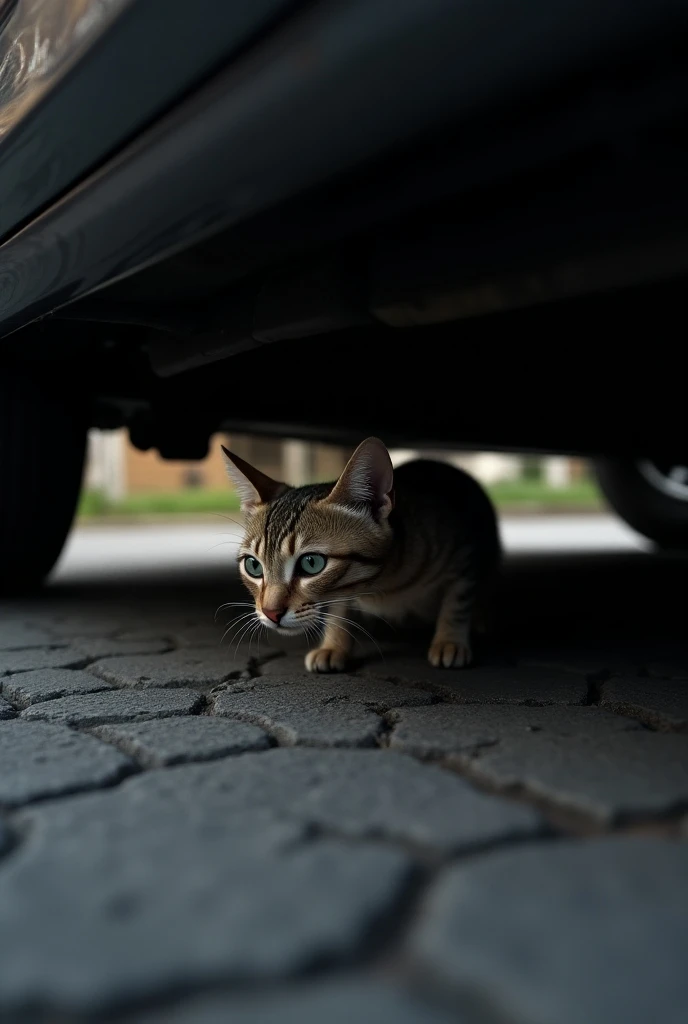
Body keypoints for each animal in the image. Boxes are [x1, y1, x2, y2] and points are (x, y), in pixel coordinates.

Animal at [224, 434, 499, 667]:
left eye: (311, 563)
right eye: (253, 566)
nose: (271, 613)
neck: (380, 586)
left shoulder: (463, 554)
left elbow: (457, 601)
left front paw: (449, 640)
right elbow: (338, 609)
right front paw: (334, 645)